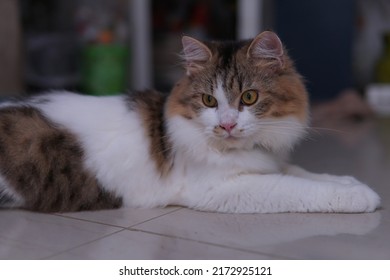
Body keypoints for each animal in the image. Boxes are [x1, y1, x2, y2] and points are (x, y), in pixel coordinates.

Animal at [0, 31, 380, 212]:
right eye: (209, 101)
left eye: (249, 98)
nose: (226, 125)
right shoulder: (222, 189)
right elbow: (299, 187)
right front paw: (359, 196)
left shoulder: (266, 163)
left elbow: (302, 172)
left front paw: (350, 181)